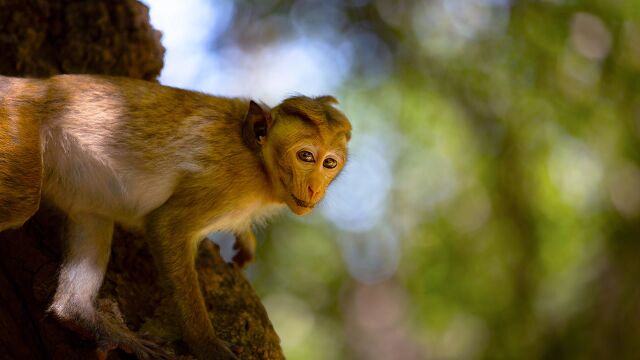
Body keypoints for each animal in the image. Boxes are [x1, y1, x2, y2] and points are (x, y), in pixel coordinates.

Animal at [0, 74, 350, 358]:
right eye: (306, 156)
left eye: (329, 163)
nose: (314, 189)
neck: (258, 160)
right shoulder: (228, 180)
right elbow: (166, 225)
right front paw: (207, 345)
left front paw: (245, 238)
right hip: (18, 130)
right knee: (22, 205)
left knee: (93, 217)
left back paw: (80, 314)